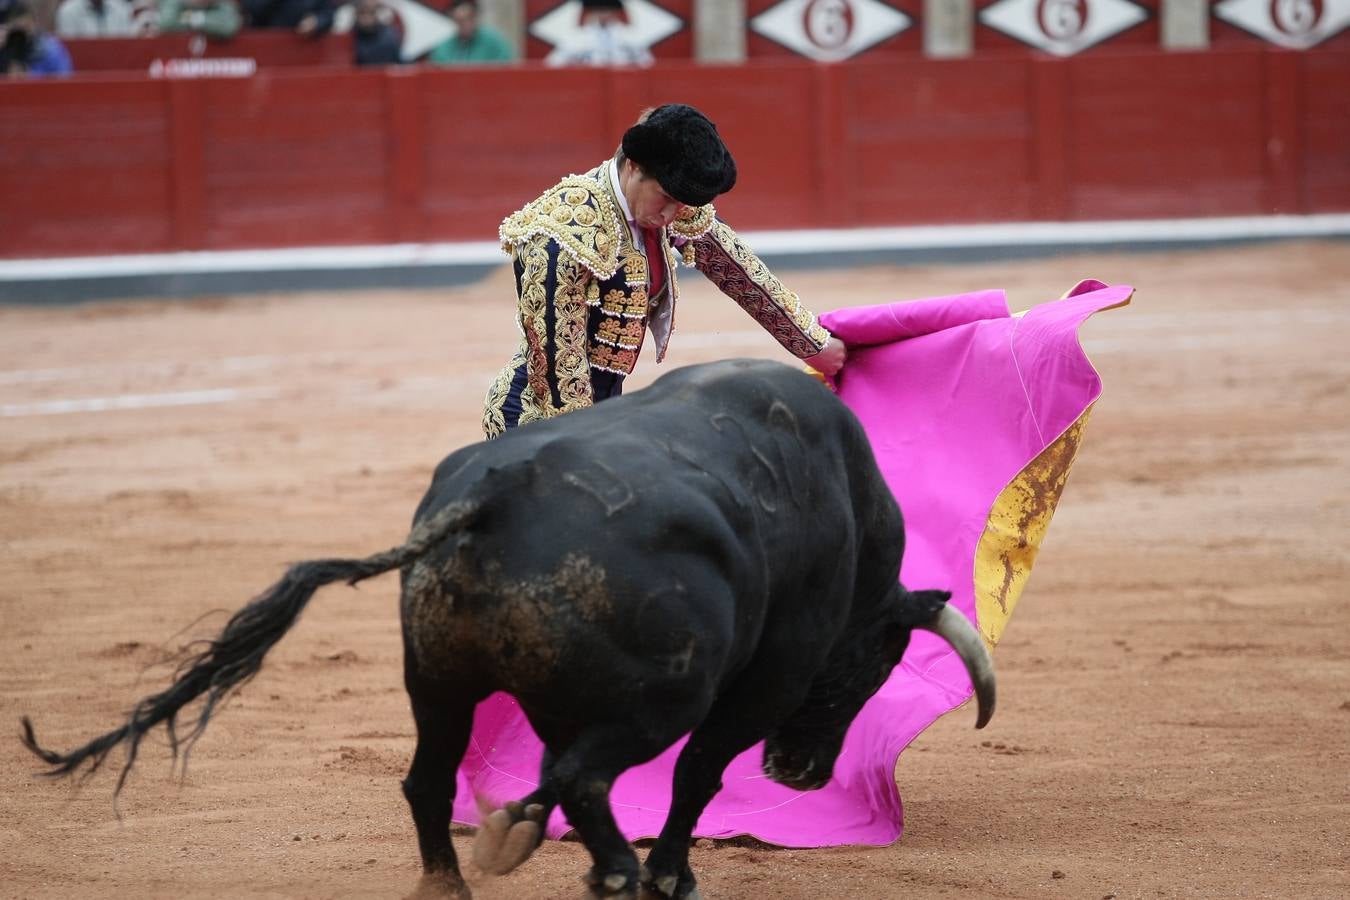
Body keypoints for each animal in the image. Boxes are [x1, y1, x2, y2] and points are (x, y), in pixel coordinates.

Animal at [18, 358, 993, 900]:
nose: (803, 773)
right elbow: (697, 776)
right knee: (591, 777)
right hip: (663, 696)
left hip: (437, 681)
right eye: (872, 667)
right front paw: (672, 876)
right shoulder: (768, 678)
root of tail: (494, 499)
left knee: (434, 780)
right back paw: (617, 873)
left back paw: (450, 882)